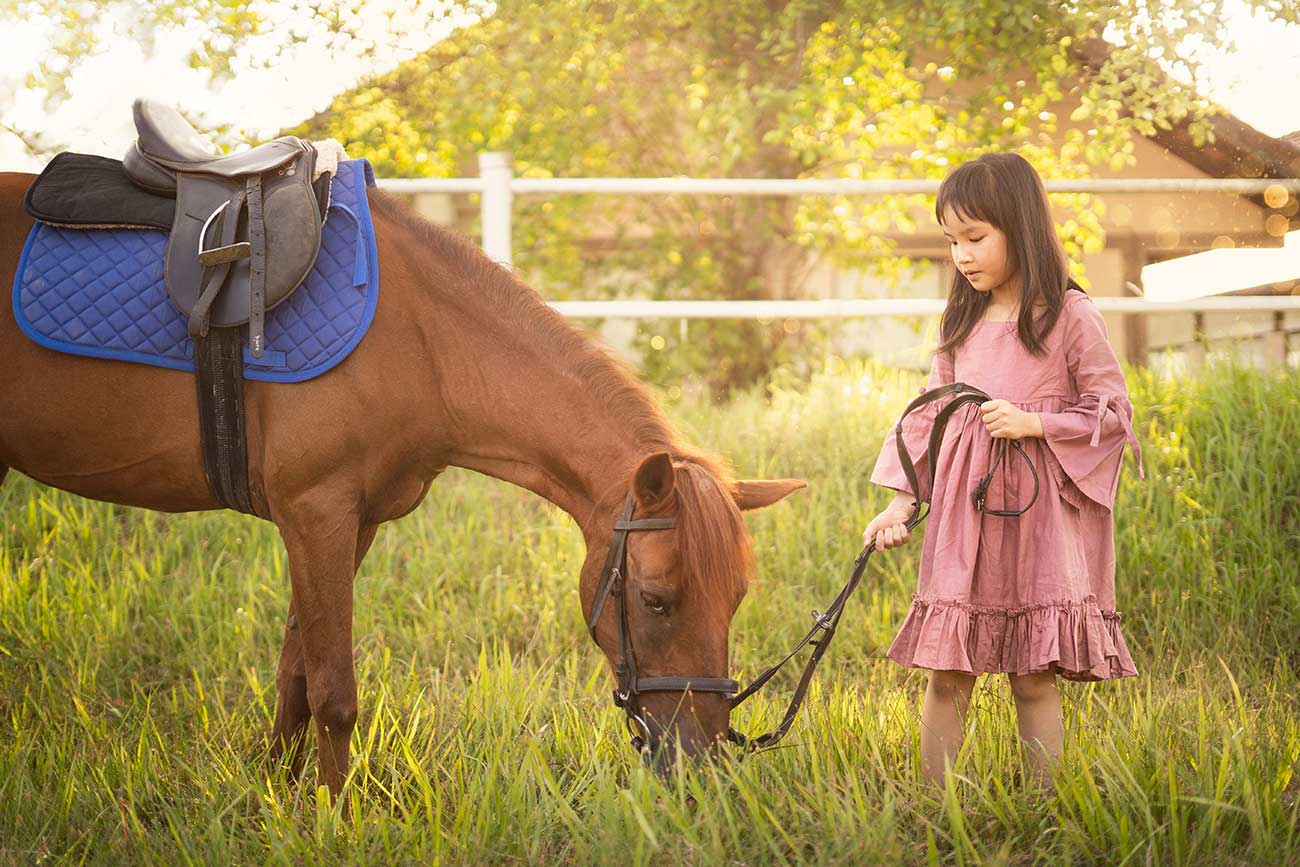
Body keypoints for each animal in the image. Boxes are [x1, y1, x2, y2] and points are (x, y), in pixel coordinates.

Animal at [0, 166, 806, 795]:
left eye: (736, 599)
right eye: (656, 600)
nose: (703, 765)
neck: (419, 338)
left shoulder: (348, 524)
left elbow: (296, 672)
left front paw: (277, 795)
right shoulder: (317, 511)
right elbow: (333, 692)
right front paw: (335, 820)